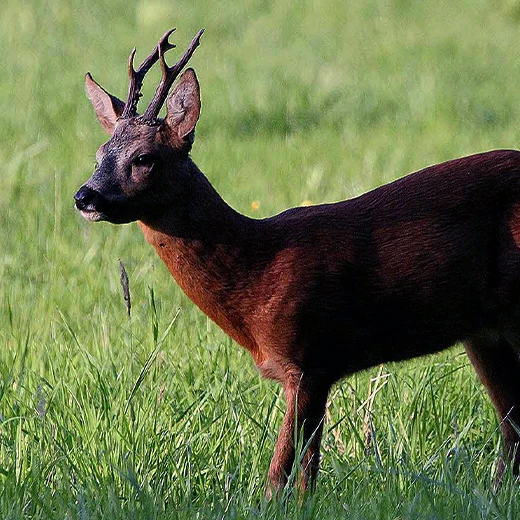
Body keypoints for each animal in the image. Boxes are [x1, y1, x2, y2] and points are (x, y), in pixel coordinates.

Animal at [74, 27, 520, 492]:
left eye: (143, 157)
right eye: (100, 153)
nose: (84, 196)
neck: (257, 269)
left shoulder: (308, 356)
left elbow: (279, 476)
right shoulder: (316, 368)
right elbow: (306, 475)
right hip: (484, 331)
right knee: (512, 425)